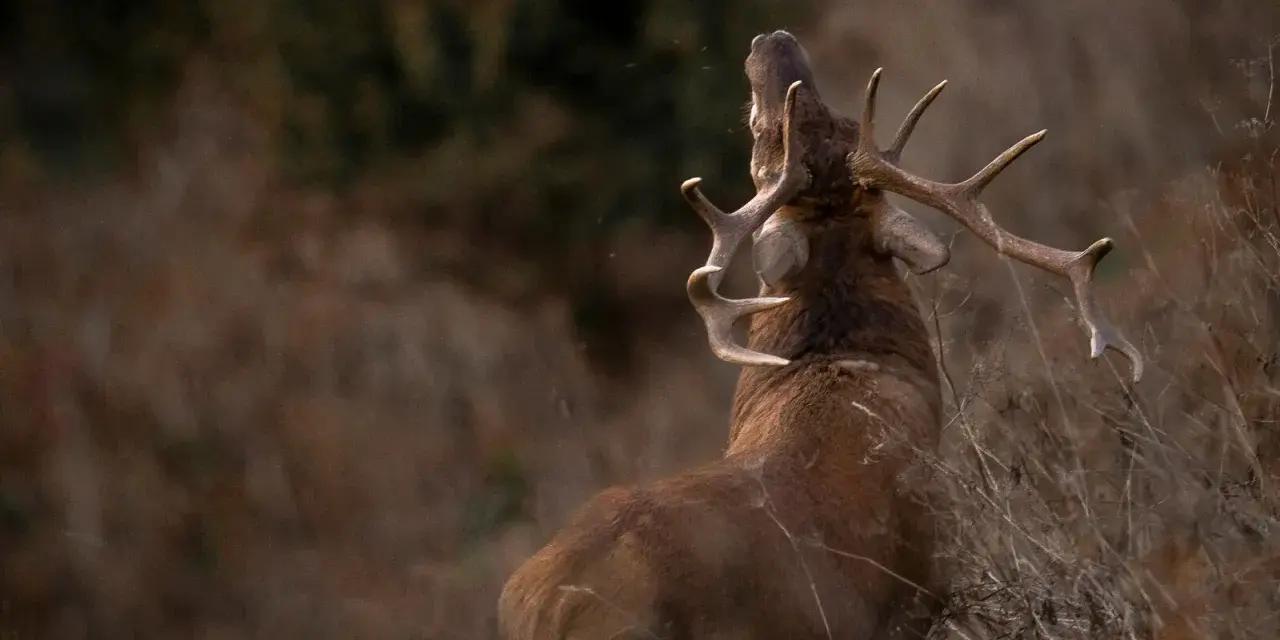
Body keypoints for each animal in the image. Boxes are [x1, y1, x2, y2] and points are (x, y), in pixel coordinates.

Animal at [497, 30, 1143, 640]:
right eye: (769, 136)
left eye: (833, 117)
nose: (774, 42)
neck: (840, 363)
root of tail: (544, 608)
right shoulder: (924, 589)